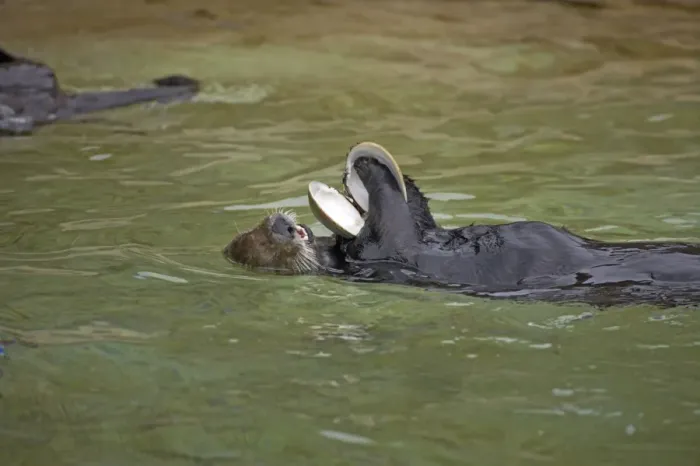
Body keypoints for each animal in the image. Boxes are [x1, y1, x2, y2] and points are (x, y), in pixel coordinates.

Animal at [223, 157, 700, 307]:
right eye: (265, 244)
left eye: (259, 227)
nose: (283, 225)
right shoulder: (382, 255)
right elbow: (395, 231)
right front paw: (373, 168)